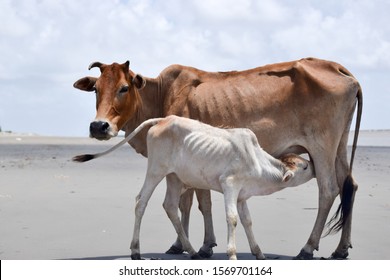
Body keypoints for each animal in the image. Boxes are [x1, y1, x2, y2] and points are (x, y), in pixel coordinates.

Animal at [74, 115, 316, 260]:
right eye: (304, 166)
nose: (315, 167)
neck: (257, 160)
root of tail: (165, 118)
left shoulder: (241, 196)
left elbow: (247, 221)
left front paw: (259, 253)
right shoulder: (230, 185)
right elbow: (232, 219)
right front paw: (232, 255)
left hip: (174, 177)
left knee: (170, 206)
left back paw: (191, 250)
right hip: (156, 170)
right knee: (141, 201)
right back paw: (135, 250)